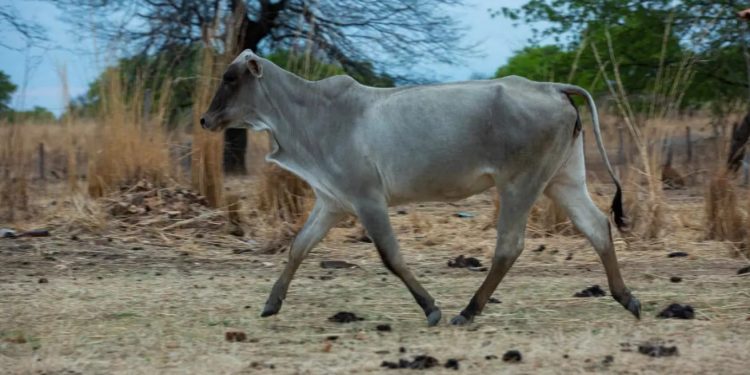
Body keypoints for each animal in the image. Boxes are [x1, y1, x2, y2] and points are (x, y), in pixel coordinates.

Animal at [200, 49, 640, 326]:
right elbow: (298, 247)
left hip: (520, 183)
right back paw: (627, 298)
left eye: (231, 78)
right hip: (562, 180)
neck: (311, 114)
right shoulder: (332, 202)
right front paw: (271, 303)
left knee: (509, 246)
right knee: (597, 226)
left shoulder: (367, 199)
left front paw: (431, 308)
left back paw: (468, 311)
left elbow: (391, 256)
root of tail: (551, 87)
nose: (205, 120)